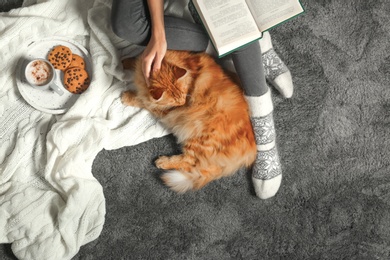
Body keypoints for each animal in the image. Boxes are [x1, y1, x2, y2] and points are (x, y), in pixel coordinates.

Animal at [122, 50, 256, 193]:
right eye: (177, 100)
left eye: (182, 96)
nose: (183, 103)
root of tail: (251, 150)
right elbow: (137, 59)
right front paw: (125, 61)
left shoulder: (163, 109)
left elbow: (143, 100)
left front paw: (128, 96)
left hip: (200, 140)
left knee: (188, 162)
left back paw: (162, 162)